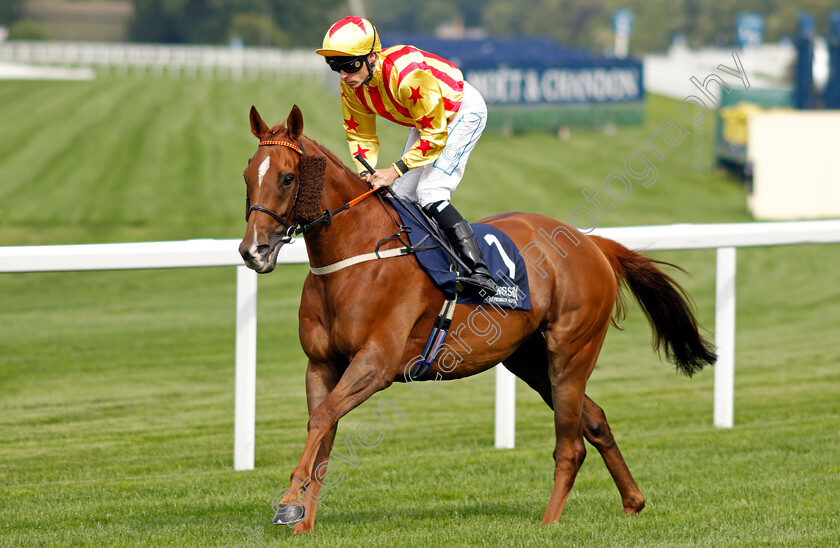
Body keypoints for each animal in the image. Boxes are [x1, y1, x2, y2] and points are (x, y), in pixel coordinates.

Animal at [241, 105, 716, 532]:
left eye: (287, 177)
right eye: (247, 176)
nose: (253, 251)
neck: (356, 255)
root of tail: (591, 243)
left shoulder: (376, 363)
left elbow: (322, 420)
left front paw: (288, 504)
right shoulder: (321, 364)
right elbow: (322, 432)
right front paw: (303, 520)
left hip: (571, 350)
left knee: (571, 445)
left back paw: (549, 522)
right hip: (528, 359)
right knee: (595, 420)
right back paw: (633, 501)